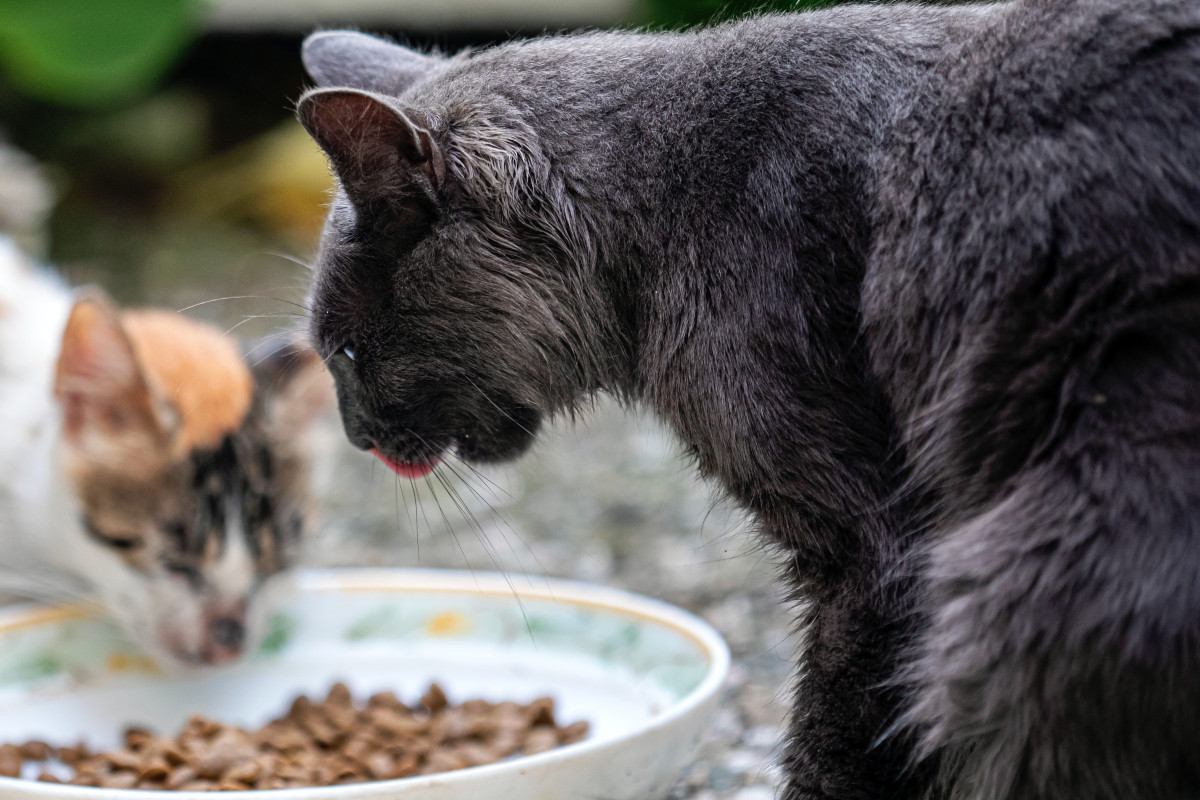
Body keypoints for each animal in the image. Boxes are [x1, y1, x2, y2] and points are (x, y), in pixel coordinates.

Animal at [292, 0, 1200, 796]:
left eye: (345, 351)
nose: (355, 435)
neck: (670, 200)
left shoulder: (876, 551)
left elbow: (839, 739)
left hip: (1031, 570)